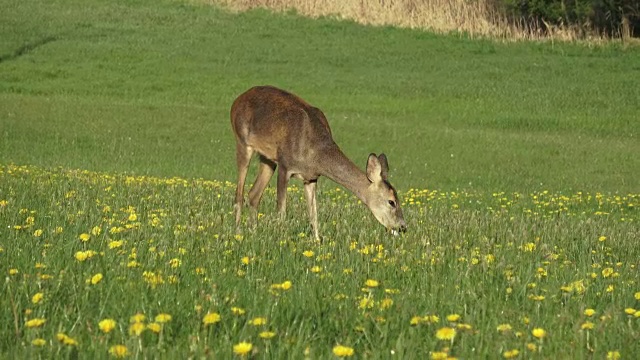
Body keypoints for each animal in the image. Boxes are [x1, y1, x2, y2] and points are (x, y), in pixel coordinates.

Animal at [232, 86, 408, 240]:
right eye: (391, 201)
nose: (402, 227)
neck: (316, 153)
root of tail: (237, 100)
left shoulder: (311, 177)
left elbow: (314, 214)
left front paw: (316, 241)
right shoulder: (284, 165)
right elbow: (281, 210)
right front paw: (281, 239)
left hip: (268, 159)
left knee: (253, 194)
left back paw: (253, 230)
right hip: (242, 141)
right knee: (239, 194)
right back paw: (238, 231)